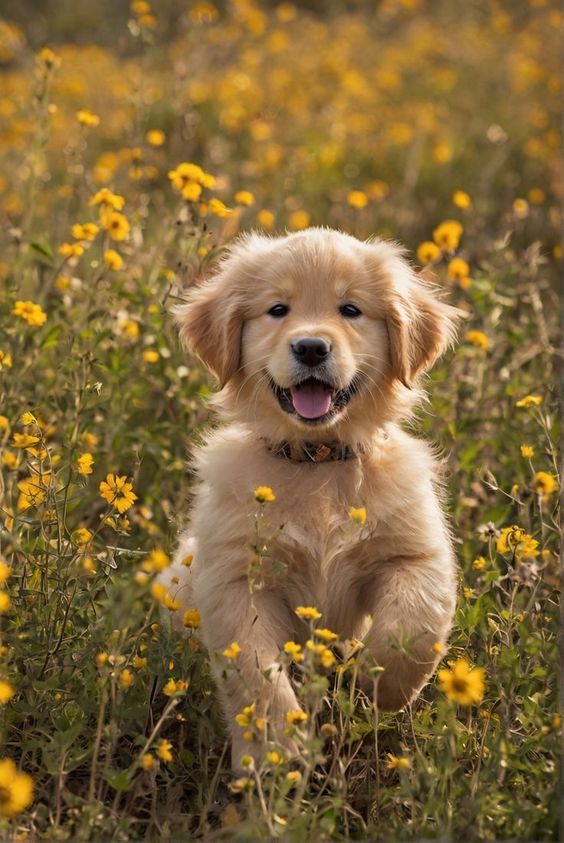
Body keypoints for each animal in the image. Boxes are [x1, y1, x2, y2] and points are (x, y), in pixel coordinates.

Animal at [159, 227, 462, 768]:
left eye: (351, 309)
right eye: (278, 309)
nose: (311, 347)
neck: (317, 461)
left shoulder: (416, 554)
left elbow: (413, 628)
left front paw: (377, 689)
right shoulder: (238, 582)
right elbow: (256, 675)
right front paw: (275, 750)